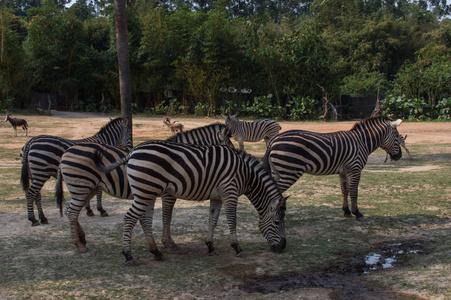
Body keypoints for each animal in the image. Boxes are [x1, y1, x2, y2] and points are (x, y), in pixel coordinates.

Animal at [55, 123, 237, 252]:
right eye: (229, 145)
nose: (238, 160)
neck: (181, 157)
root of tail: (65, 153)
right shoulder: (169, 194)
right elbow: (167, 216)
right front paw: (168, 243)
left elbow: (165, 217)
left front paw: (166, 242)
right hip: (81, 188)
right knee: (72, 212)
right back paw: (79, 244)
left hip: (87, 189)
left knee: (72, 211)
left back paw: (82, 239)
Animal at [95, 141, 288, 264]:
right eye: (277, 222)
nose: (282, 248)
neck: (246, 174)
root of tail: (133, 151)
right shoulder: (230, 193)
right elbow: (232, 221)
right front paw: (237, 248)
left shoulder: (217, 196)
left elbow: (213, 221)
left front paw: (210, 246)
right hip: (145, 190)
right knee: (129, 219)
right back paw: (128, 256)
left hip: (147, 192)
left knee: (145, 220)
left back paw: (156, 252)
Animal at [262, 117, 402, 220]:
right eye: (397, 137)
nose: (399, 156)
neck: (362, 142)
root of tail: (273, 141)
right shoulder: (355, 169)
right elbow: (354, 191)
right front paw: (357, 213)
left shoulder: (344, 172)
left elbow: (345, 191)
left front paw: (346, 211)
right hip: (290, 172)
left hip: (278, 171)